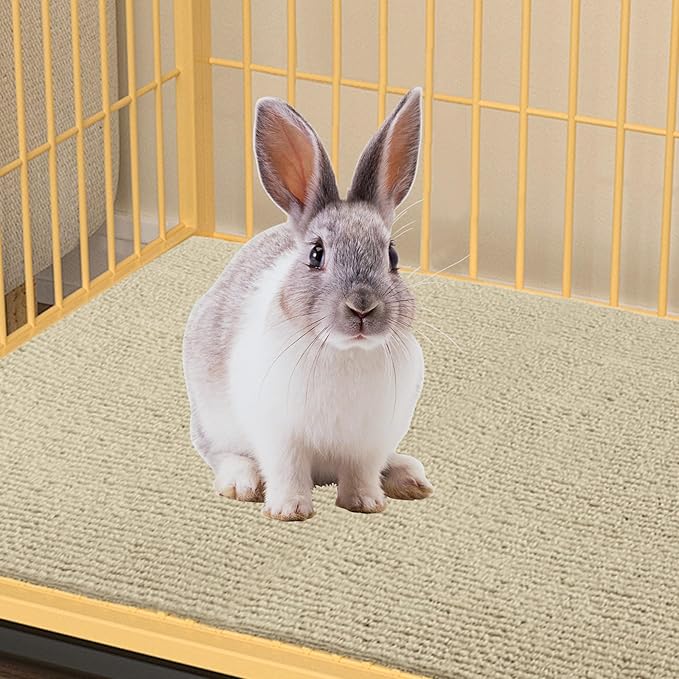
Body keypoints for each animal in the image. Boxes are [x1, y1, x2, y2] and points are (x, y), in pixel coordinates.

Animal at [183, 87, 432, 521]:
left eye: (393, 256)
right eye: (316, 254)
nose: (362, 308)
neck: (346, 352)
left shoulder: (369, 441)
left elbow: (362, 472)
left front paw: (366, 504)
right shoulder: (280, 436)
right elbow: (287, 471)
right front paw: (289, 511)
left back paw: (408, 478)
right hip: (213, 420)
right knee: (221, 453)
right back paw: (241, 483)